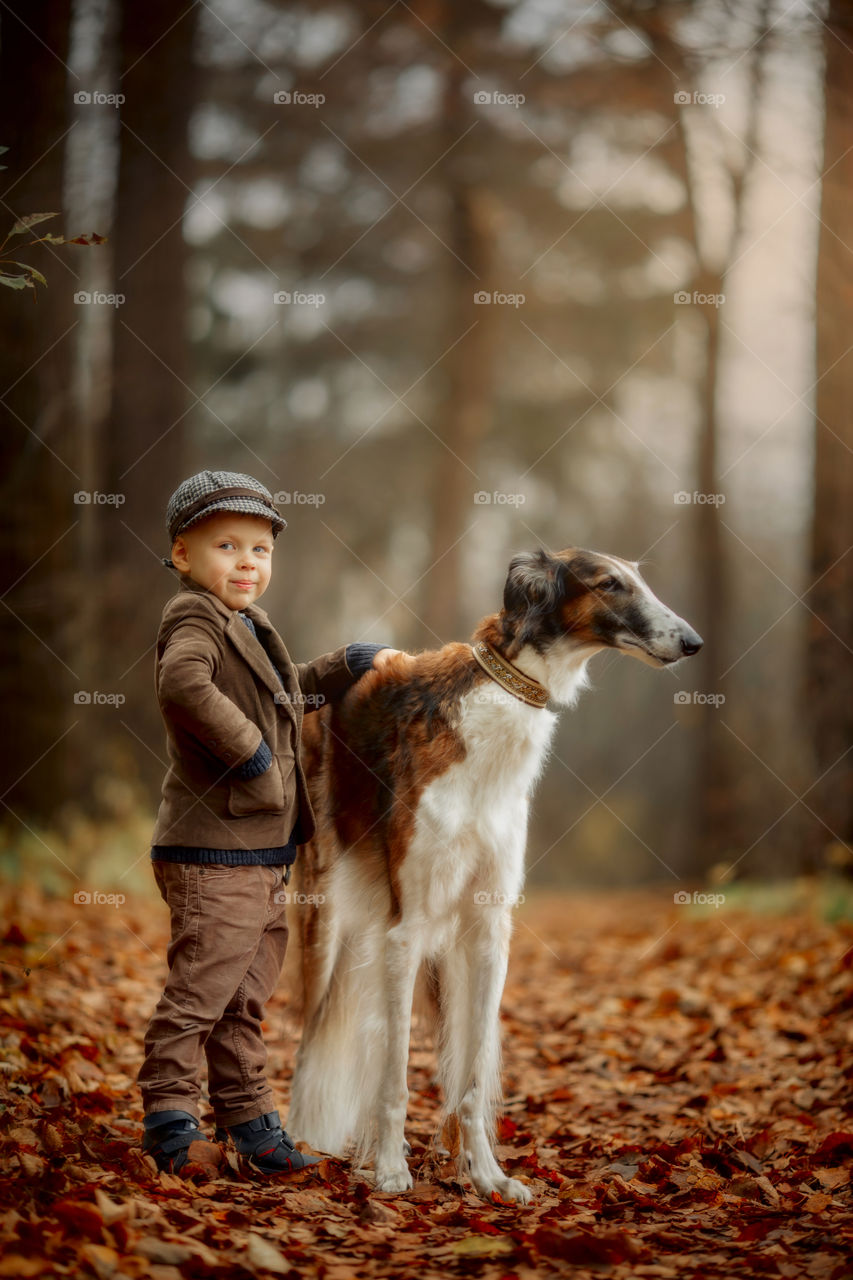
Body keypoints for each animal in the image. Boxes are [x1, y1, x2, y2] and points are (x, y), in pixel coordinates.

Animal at [289, 547, 701, 1198]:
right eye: (610, 584)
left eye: (641, 578)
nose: (692, 642)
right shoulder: (407, 929)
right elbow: (396, 1075)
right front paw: (391, 1170)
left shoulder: (486, 930)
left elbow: (473, 1074)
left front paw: (486, 1175)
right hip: (325, 919)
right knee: (314, 1035)